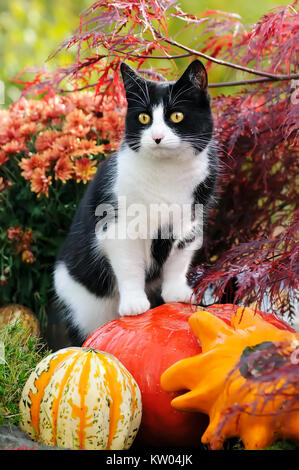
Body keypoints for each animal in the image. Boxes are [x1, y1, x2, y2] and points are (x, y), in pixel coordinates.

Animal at [54, 59, 218, 346]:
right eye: (144, 118)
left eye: (177, 116)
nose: (157, 137)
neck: (167, 174)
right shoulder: (118, 225)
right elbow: (129, 265)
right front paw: (134, 304)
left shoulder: (191, 220)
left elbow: (179, 258)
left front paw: (176, 292)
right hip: (83, 305)